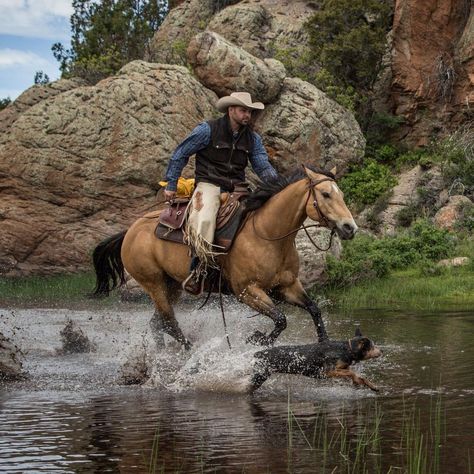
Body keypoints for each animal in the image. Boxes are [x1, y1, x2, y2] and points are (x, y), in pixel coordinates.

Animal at [92, 167, 358, 348]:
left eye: (342, 194)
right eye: (325, 194)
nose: (350, 227)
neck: (268, 235)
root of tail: (130, 230)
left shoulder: (288, 286)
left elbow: (314, 310)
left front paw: (325, 346)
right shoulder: (247, 291)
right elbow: (281, 319)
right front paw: (257, 339)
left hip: (172, 286)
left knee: (157, 324)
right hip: (153, 283)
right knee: (169, 323)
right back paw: (191, 351)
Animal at [250, 330, 384, 392]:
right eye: (372, 346)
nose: (382, 350)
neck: (347, 350)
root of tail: (258, 353)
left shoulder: (342, 369)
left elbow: (360, 377)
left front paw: (373, 386)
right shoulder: (328, 371)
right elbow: (352, 373)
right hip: (260, 374)